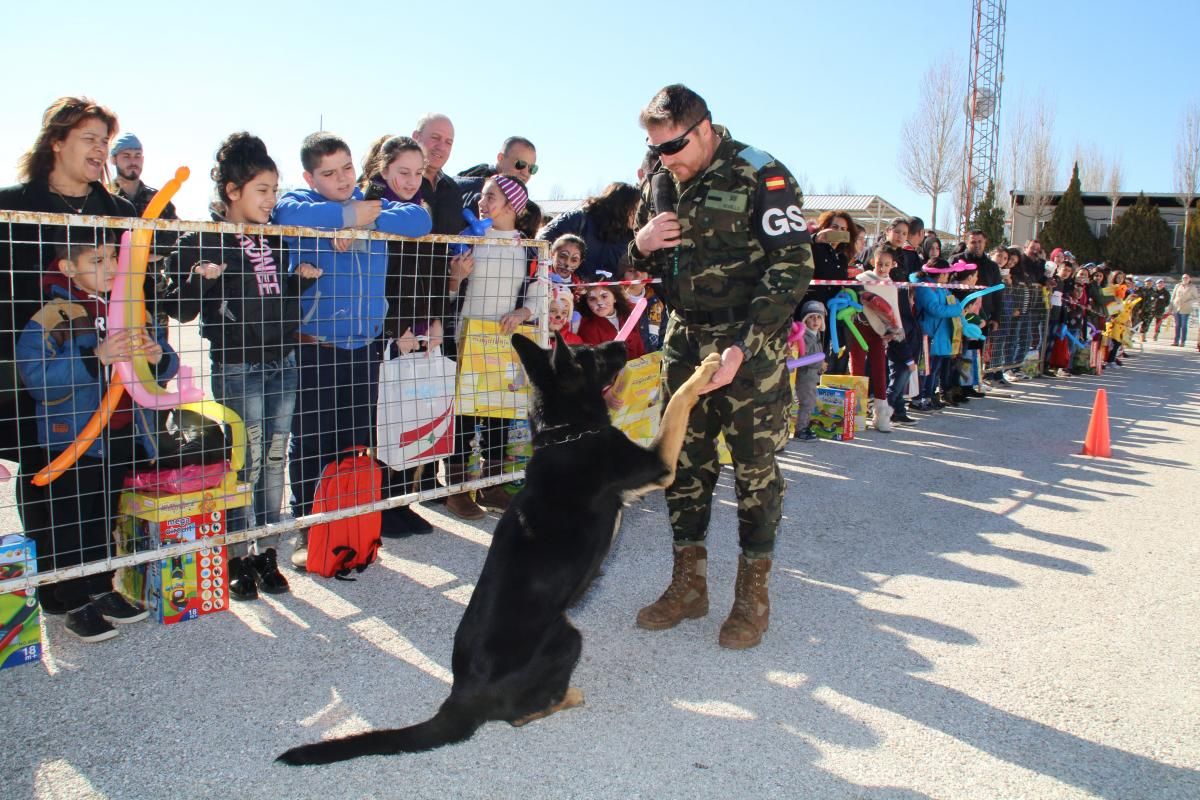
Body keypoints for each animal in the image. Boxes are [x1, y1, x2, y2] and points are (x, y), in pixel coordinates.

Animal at [276, 333, 715, 767]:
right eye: (591, 353)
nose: (625, 345)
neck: (566, 431)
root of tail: (460, 697)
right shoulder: (658, 465)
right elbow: (678, 403)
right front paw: (706, 369)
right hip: (568, 634)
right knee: (520, 716)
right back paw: (568, 696)